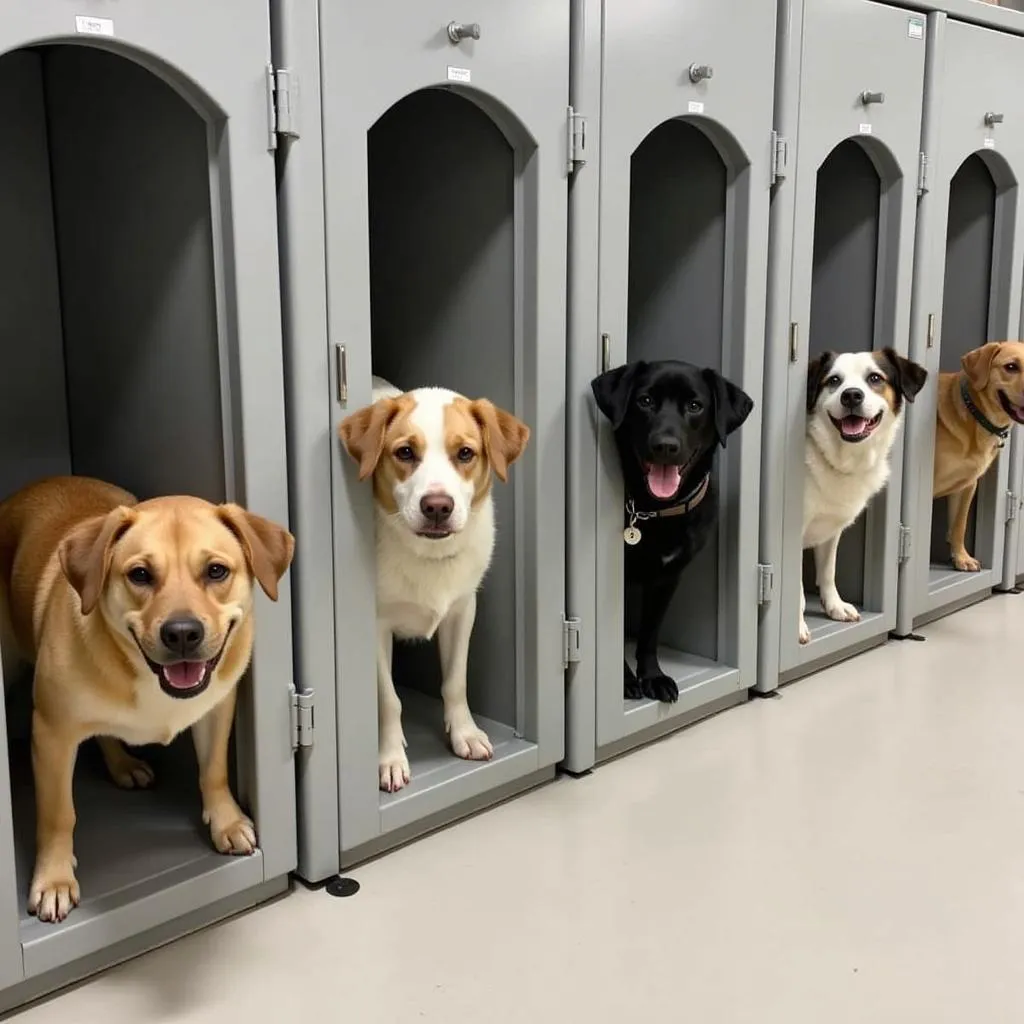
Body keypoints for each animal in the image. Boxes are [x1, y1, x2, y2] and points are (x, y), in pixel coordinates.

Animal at [0, 475, 294, 925]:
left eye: (216, 571)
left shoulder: (217, 709)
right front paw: (53, 878)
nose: (183, 633)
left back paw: (122, 764)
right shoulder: (52, 734)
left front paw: (225, 822)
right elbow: (57, 814)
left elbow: (214, 772)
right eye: (140, 574)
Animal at [337, 376, 528, 790]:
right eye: (405, 452)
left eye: (466, 453)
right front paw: (390, 757)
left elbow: (455, 681)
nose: (438, 506)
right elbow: (389, 699)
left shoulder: (462, 611)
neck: (426, 555)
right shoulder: (376, 628)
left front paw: (464, 734)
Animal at [593, 356, 753, 700]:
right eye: (645, 401)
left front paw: (652, 676)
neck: (656, 510)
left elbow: (650, 632)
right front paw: (624, 680)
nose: (665, 446)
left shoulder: (667, 578)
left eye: (695, 405)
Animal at [798, 348, 929, 643]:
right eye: (834, 380)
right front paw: (795, 625)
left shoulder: (831, 530)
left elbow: (828, 571)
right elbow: (795, 590)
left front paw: (835, 606)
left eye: (875, 378)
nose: (851, 395)